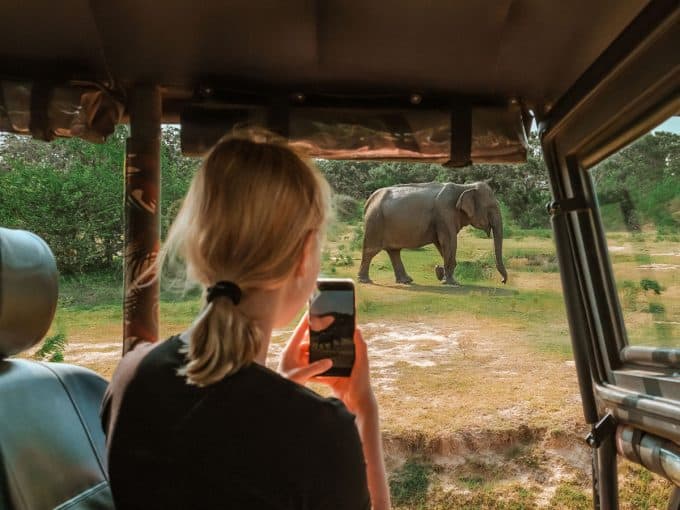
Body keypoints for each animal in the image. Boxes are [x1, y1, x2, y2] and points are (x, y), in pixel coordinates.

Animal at [358, 182, 508, 286]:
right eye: (491, 208)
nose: (502, 281)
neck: (464, 187)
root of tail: (369, 200)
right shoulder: (444, 213)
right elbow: (449, 241)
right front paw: (453, 283)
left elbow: (442, 244)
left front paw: (442, 274)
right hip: (375, 222)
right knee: (371, 251)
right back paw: (365, 281)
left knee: (394, 252)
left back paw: (406, 281)